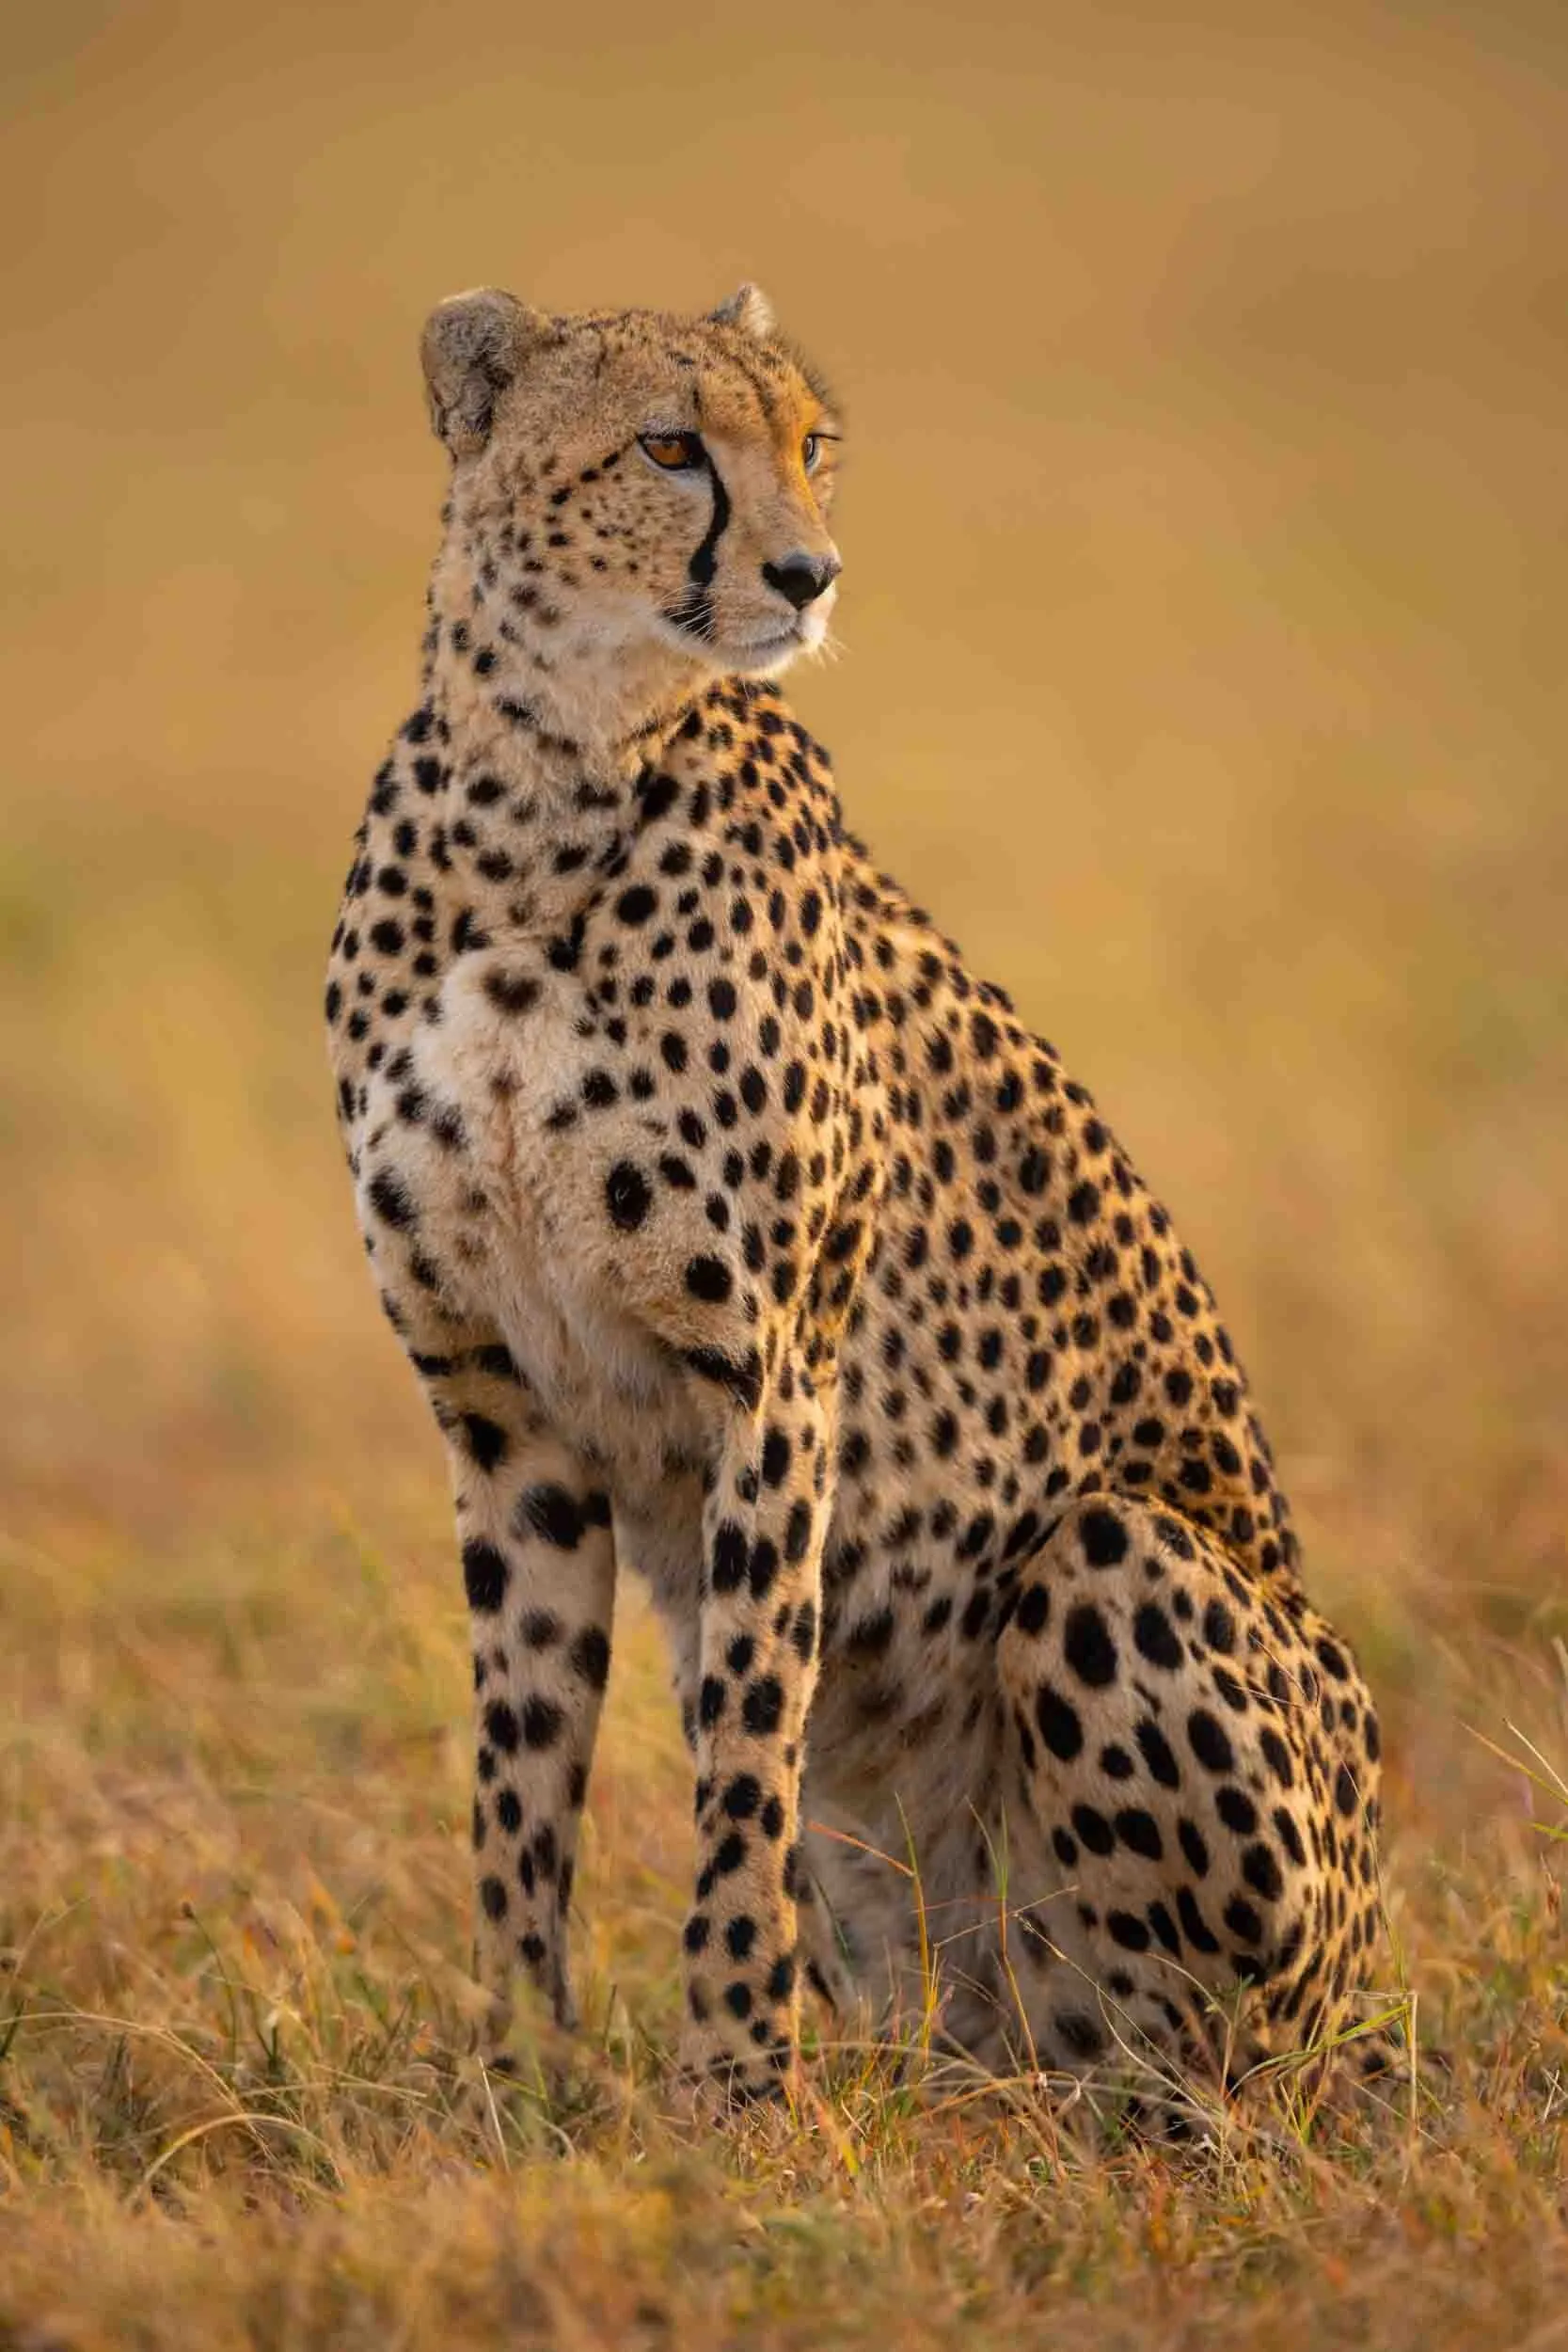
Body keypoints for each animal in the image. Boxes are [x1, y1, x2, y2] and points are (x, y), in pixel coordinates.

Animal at [324, 280, 1391, 2114]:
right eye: (667, 448)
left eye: (810, 444)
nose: (808, 573)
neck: (542, 793)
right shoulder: (502, 1415)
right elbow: (518, 1780)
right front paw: (513, 2079)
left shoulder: (771, 1378)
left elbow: (744, 1753)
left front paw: (735, 2085)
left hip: (1118, 1571)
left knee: (1196, 2066)